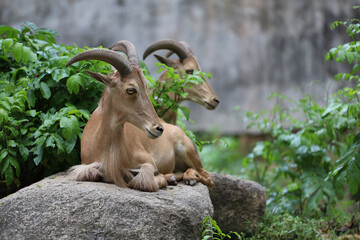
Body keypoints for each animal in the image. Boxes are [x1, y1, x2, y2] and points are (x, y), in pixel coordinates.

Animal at [69, 41, 212, 191]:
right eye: (131, 90)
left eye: (145, 86)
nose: (159, 128)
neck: (103, 145)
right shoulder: (86, 165)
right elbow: (91, 173)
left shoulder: (147, 161)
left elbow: (143, 180)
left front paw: (160, 179)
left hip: (188, 149)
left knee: (207, 176)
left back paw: (190, 177)